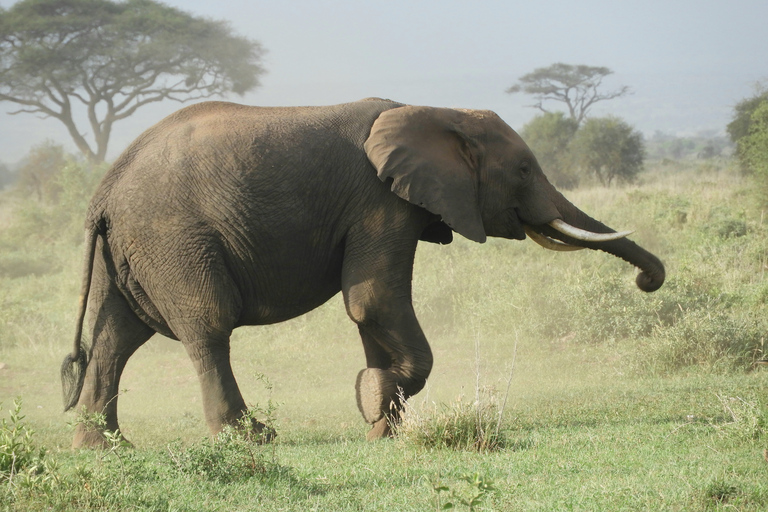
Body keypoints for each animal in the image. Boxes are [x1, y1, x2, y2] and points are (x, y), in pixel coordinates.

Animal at [60, 97, 664, 448]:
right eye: (522, 170)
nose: (648, 281)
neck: (434, 112)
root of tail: (103, 193)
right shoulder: (380, 201)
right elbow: (373, 298)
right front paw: (374, 402)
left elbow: (370, 310)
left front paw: (379, 421)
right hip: (174, 239)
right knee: (207, 326)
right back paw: (251, 438)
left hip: (130, 251)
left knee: (116, 336)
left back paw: (105, 449)